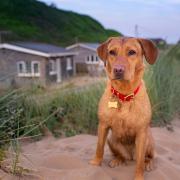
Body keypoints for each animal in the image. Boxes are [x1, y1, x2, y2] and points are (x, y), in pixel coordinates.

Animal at [89, 37, 158, 180]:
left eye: (132, 52)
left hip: (148, 140)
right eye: (112, 52)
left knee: (146, 158)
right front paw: (95, 164)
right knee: (121, 155)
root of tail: (130, 156)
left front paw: (139, 176)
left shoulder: (141, 132)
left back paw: (148, 163)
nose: (118, 70)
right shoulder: (103, 125)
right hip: (111, 140)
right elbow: (99, 147)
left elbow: (139, 163)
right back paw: (118, 159)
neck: (124, 93)